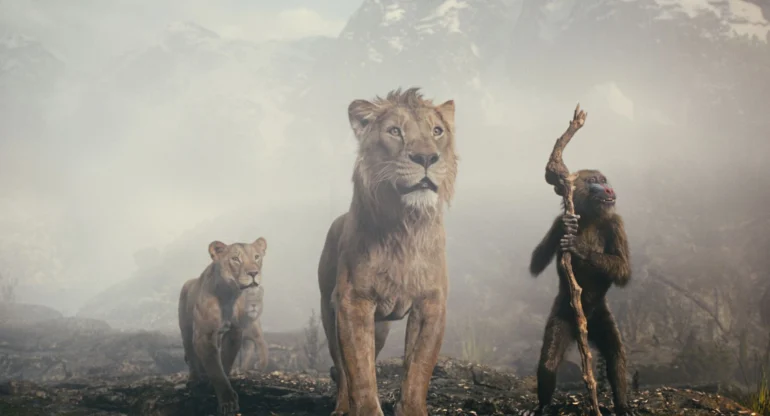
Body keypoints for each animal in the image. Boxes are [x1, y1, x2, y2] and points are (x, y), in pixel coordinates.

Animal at [178, 237, 267, 416]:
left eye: (256, 257)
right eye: (235, 259)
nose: (253, 273)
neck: (229, 295)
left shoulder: (234, 333)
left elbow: (225, 363)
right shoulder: (203, 336)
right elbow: (215, 370)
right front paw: (228, 402)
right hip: (186, 329)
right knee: (190, 353)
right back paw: (194, 380)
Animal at [317, 87, 458, 416]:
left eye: (437, 131)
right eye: (395, 131)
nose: (426, 157)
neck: (406, 226)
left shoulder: (431, 303)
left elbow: (419, 368)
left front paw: (412, 409)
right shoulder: (353, 302)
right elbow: (360, 371)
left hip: (380, 327)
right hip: (329, 312)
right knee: (342, 368)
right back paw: (341, 407)